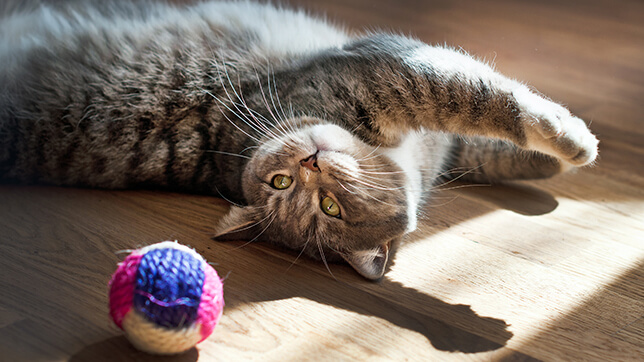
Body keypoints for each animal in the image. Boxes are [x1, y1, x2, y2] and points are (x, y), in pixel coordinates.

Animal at [1, 0, 600, 280]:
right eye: (283, 185)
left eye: (329, 206)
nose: (312, 161)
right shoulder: (385, 70)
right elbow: (479, 96)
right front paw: (570, 140)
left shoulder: (438, 141)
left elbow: (482, 148)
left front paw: (547, 166)